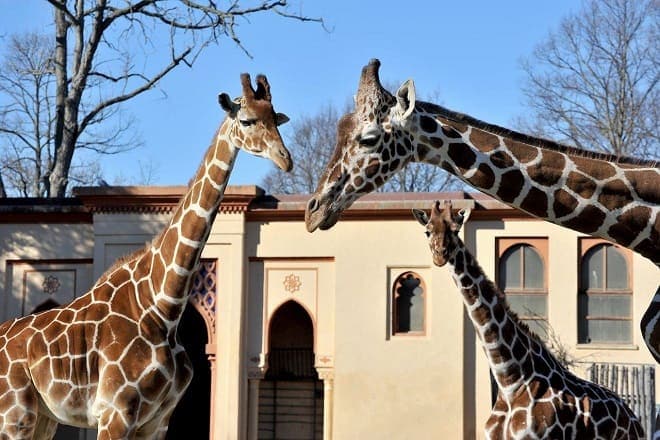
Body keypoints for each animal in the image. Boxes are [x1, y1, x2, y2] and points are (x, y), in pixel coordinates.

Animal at [0, 73, 292, 440]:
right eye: (247, 120)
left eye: (276, 119)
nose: (285, 159)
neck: (162, 306)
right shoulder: (115, 413)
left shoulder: (157, 420)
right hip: (15, 415)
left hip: (42, 418)